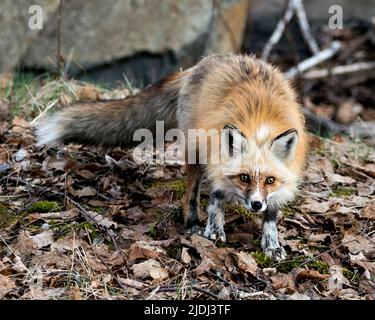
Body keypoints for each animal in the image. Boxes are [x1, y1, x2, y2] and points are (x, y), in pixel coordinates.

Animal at [37, 54, 308, 260]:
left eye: (270, 180)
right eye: (244, 177)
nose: (255, 205)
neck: (259, 124)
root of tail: (202, 64)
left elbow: (271, 216)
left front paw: (271, 244)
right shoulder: (213, 159)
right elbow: (215, 200)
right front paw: (214, 230)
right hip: (195, 151)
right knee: (190, 196)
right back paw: (192, 224)